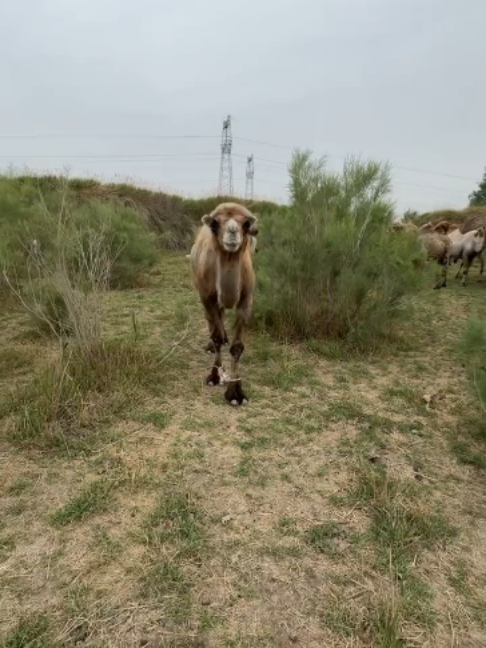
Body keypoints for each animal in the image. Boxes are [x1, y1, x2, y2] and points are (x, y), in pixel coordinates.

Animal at [190, 202, 259, 406]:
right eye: (214, 224)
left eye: (246, 224)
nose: (232, 232)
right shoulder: (207, 297)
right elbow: (217, 337)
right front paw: (215, 376)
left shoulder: (246, 300)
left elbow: (237, 347)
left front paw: (236, 393)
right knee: (212, 322)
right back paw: (210, 347)